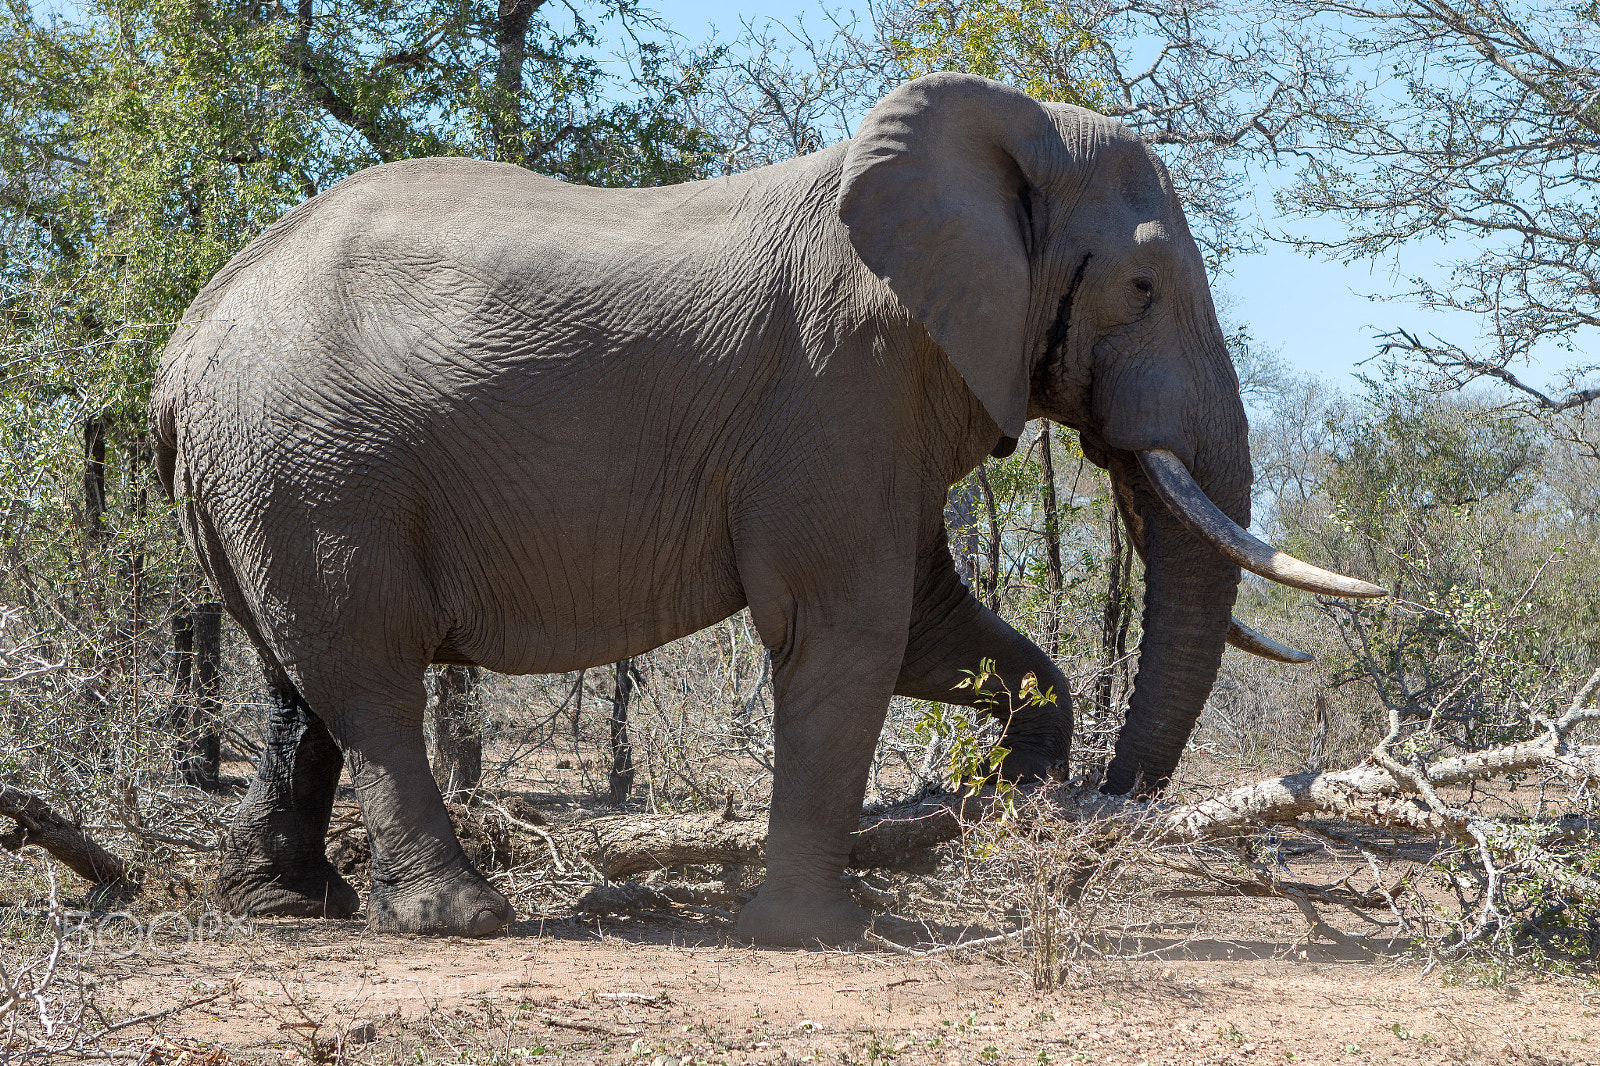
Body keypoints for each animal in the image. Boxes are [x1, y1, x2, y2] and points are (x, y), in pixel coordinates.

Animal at [149, 72, 1382, 946]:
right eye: (1140, 286)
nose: (1078, 835)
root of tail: (186, 341)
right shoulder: (843, 381)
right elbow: (849, 626)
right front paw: (816, 933)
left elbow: (929, 624)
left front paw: (994, 798)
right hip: (318, 466)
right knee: (367, 676)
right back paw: (457, 919)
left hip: (272, 476)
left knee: (298, 678)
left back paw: (286, 905)